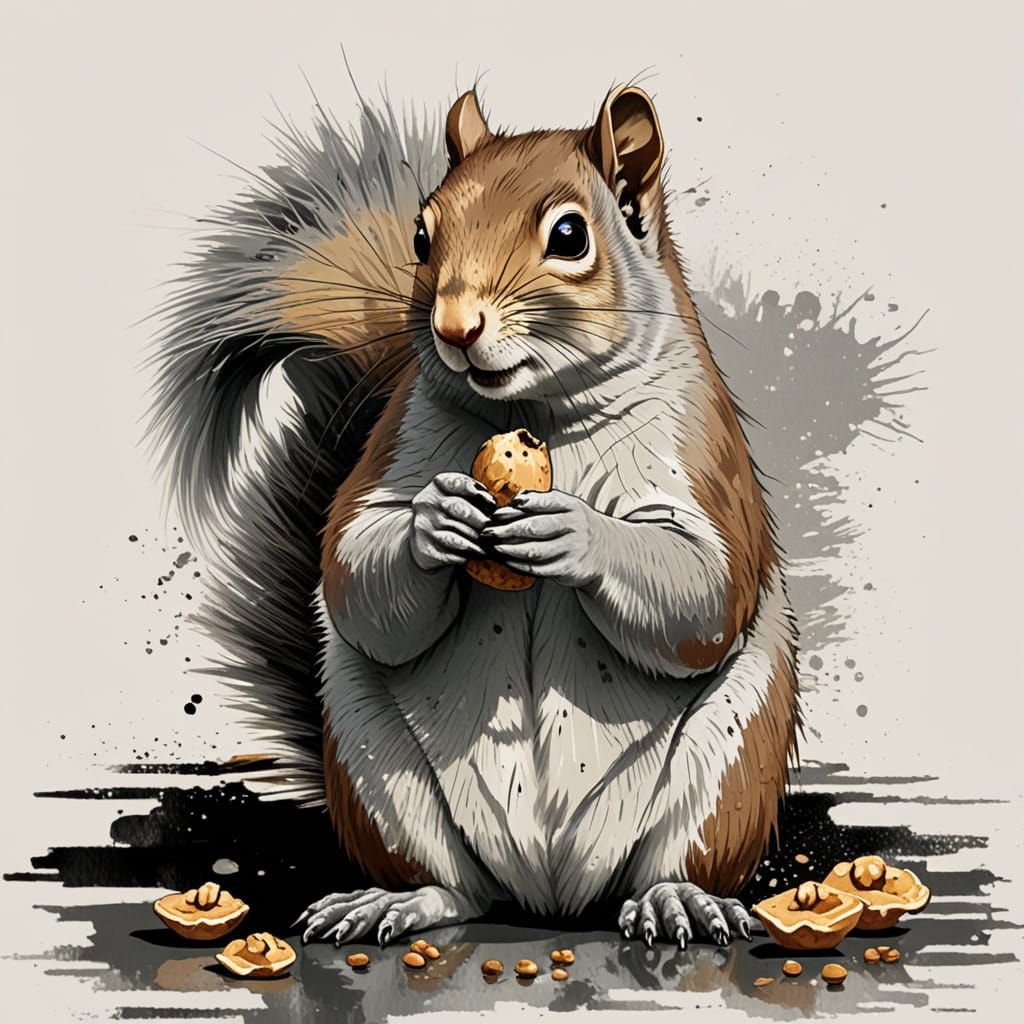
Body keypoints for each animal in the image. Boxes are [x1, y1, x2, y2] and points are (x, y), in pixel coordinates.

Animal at [148, 83, 799, 950]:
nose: (455, 328)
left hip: (727, 770)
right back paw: (395, 901)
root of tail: (552, 897)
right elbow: (353, 566)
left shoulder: (705, 462)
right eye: (423, 235)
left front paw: (577, 533)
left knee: (670, 858)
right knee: (453, 884)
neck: (536, 412)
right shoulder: (393, 447)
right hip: (375, 768)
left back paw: (674, 899)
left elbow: (703, 593)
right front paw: (434, 523)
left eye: (570, 235)